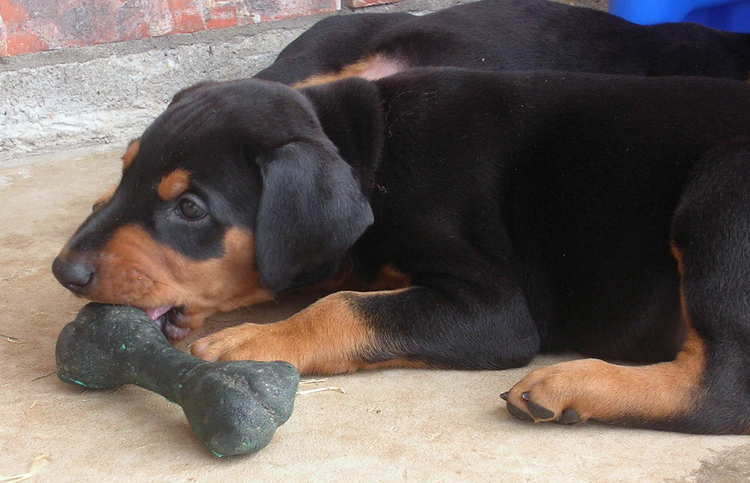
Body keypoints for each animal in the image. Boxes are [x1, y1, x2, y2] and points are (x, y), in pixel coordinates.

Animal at [54, 71, 750, 434]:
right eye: (125, 172)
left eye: (191, 209)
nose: (65, 271)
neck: (374, 155)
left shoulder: (493, 307)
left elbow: (343, 305)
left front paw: (255, 340)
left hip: (720, 193)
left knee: (725, 389)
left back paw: (571, 382)